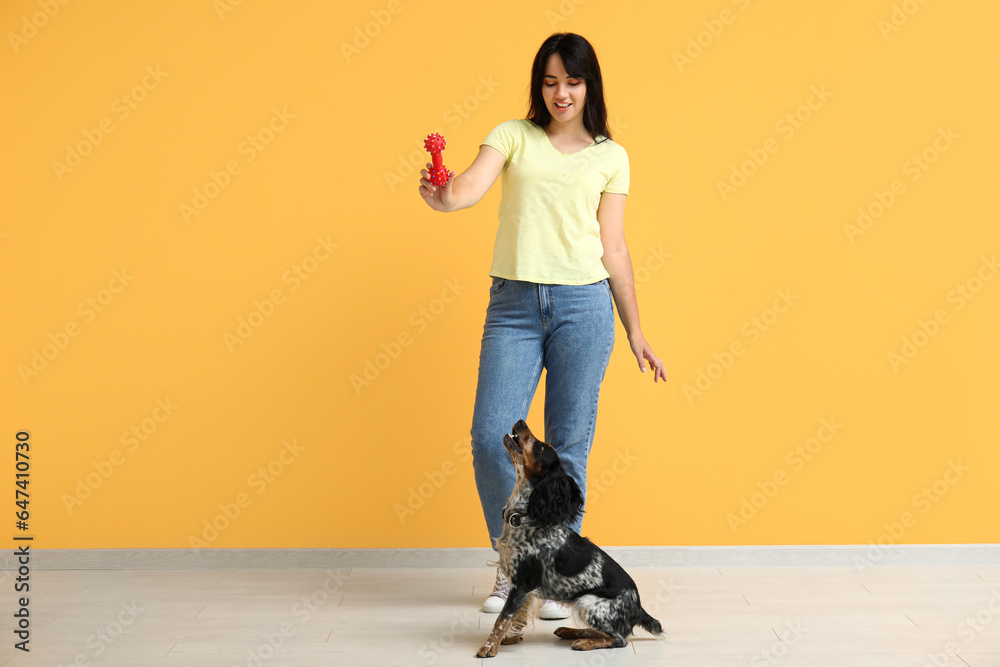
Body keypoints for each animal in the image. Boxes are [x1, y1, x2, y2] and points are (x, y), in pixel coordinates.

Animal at [472, 420, 660, 660]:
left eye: (541, 446)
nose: (521, 422)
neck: (525, 517)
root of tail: (638, 608)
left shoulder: (523, 581)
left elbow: (503, 617)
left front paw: (489, 647)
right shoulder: (521, 586)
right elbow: (517, 614)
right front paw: (510, 638)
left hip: (589, 602)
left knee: (618, 639)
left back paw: (584, 642)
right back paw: (570, 631)